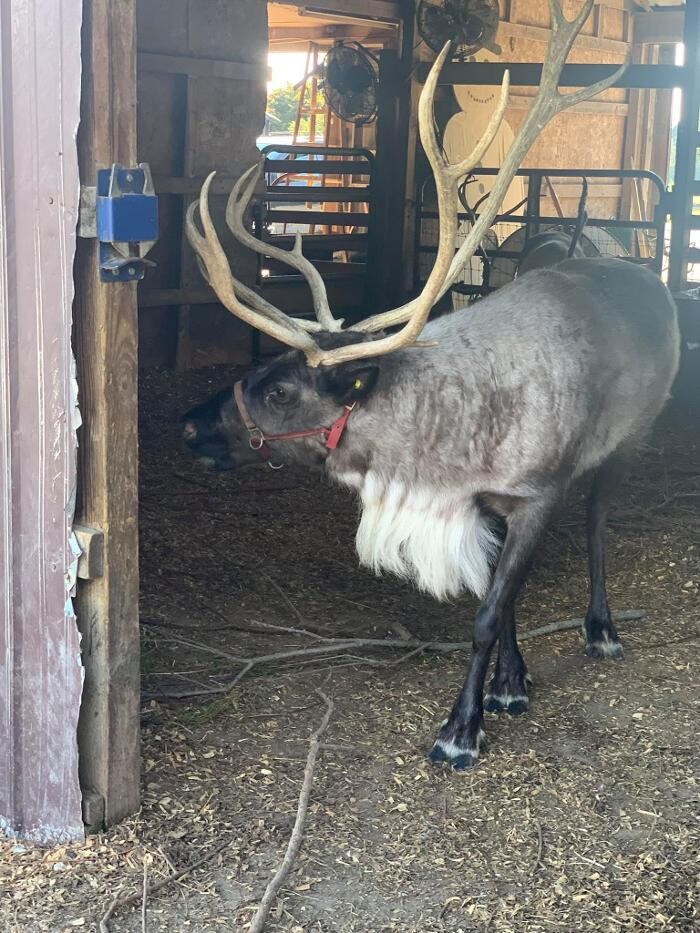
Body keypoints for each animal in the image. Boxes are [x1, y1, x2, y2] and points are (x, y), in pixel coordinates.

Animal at [180, 0, 680, 771]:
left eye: (282, 392)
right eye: (259, 370)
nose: (190, 424)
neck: (439, 451)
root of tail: (648, 276)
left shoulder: (534, 494)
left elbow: (486, 612)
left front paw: (461, 729)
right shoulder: (492, 502)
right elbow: (507, 599)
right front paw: (511, 684)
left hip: (630, 438)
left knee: (598, 523)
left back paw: (601, 628)